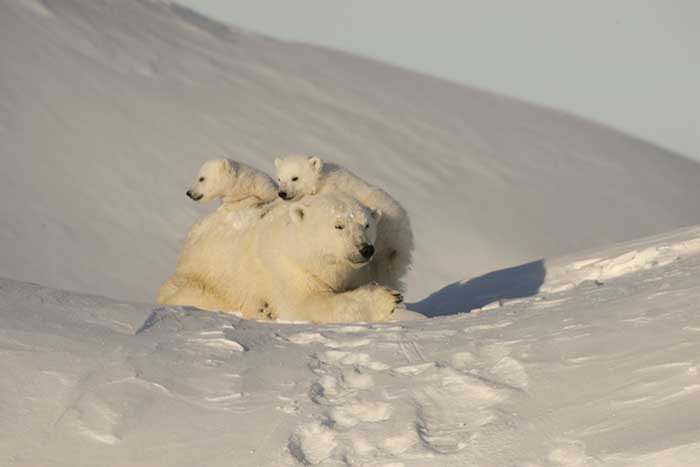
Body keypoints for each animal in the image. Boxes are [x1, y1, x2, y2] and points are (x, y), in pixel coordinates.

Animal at [157, 192, 400, 324]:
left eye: (366, 224)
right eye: (338, 225)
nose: (365, 249)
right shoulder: (288, 270)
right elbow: (308, 305)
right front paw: (390, 298)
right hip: (203, 279)